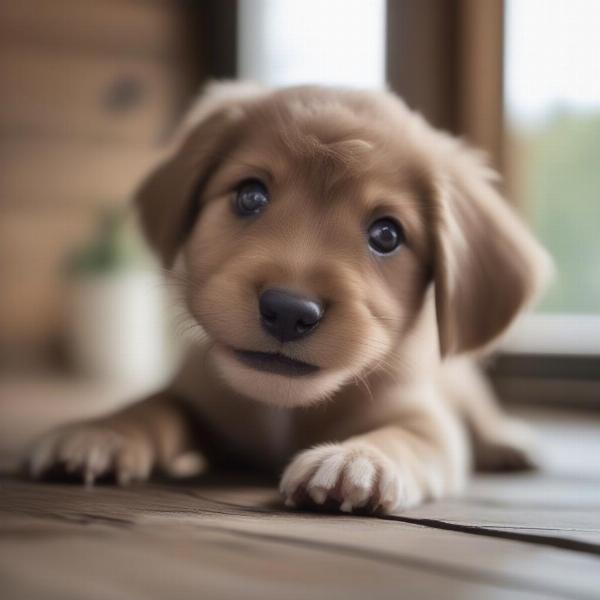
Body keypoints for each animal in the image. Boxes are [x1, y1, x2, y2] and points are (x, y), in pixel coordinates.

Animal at [29, 83, 552, 516]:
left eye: (387, 234)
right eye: (250, 196)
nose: (288, 311)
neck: (284, 409)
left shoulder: (425, 416)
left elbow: (405, 437)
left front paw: (356, 459)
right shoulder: (193, 393)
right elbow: (153, 406)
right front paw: (104, 431)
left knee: (482, 414)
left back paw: (510, 442)